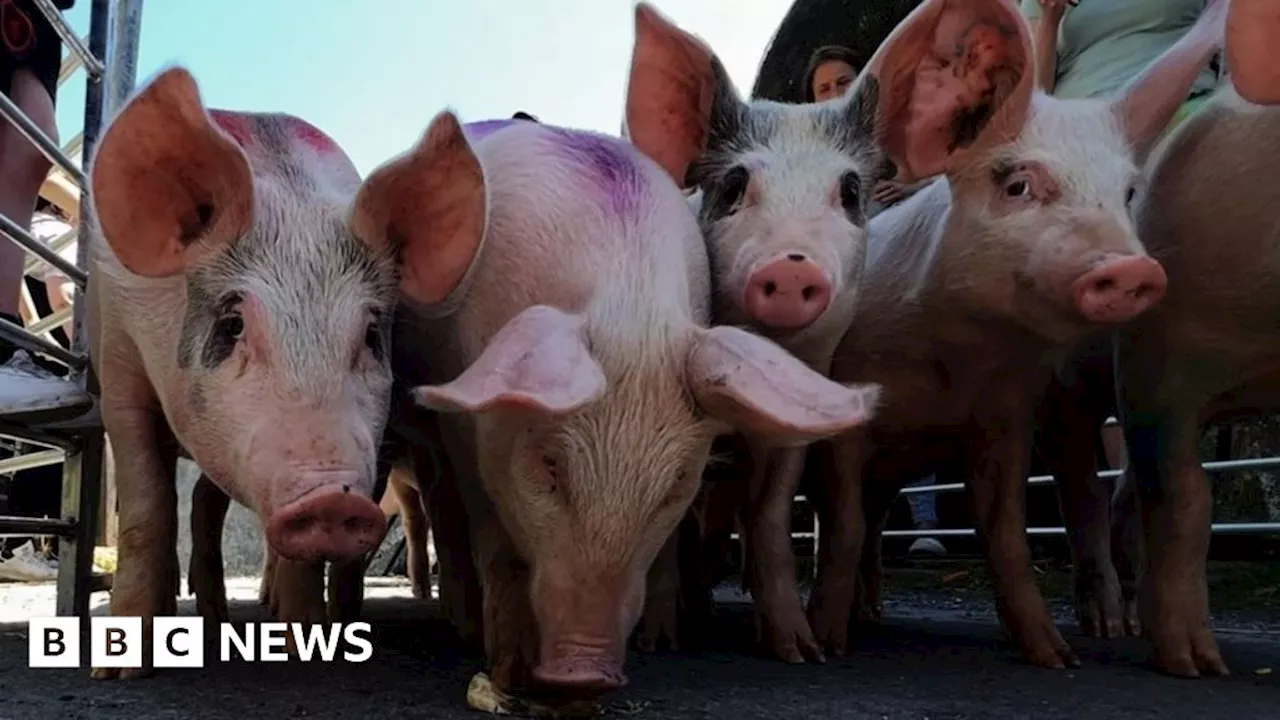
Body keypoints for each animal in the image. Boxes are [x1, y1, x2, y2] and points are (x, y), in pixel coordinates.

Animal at [350, 78, 885, 691]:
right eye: (549, 466)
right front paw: (507, 671)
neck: (628, 309)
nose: (584, 670)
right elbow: (489, 536)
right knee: (439, 508)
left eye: (676, 484)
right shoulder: (464, 422)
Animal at [619, 0, 1049, 661]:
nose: (792, 266)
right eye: (735, 185)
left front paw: (802, 653)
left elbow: (770, 520)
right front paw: (658, 644)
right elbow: (666, 525)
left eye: (850, 191)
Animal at [808, 0, 1228, 666]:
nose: (1132, 270)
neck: (955, 356)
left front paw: (1057, 657)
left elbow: (1006, 535)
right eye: (1018, 185)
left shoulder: (1007, 416)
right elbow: (842, 526)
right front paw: (826, 647)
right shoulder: (846, 403)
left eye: (1127, 194)